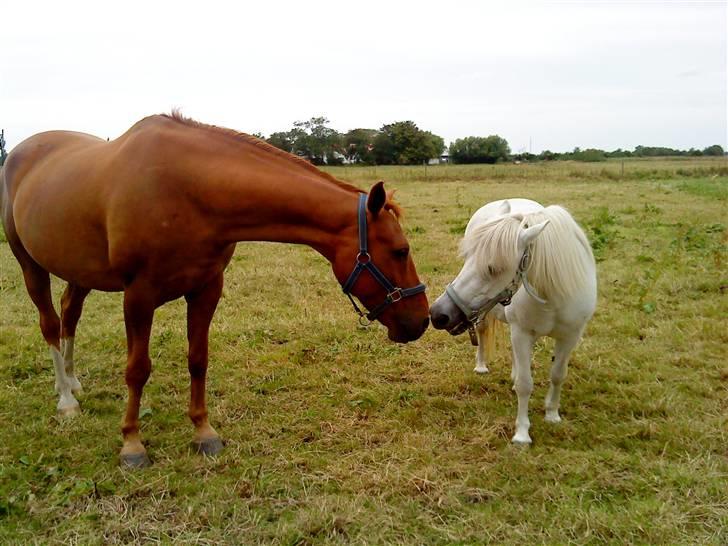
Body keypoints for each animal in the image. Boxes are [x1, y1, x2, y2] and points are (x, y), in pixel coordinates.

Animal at [2, 112, 430, 466]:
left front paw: (203, 432)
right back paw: (66, 398)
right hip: (30, 265)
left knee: (69, 314)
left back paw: (73, 380)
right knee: (49, 323)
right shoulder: (138, 296)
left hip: (79, 270)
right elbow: (137, 370)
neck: (188, 189)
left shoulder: (207, 289)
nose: (421, 320)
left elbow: (198, 359)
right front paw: (132, 444)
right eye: (400, 250)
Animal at [430, 198, 596, 444]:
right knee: (483, 333)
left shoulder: (570, 336)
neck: (553, 294)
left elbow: (558, 375)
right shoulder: (522, 332)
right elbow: (525, 384)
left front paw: (552, 414)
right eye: (467, 258)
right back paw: (481, 366)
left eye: (493, 268)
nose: (437, 314)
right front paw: (522, 433)